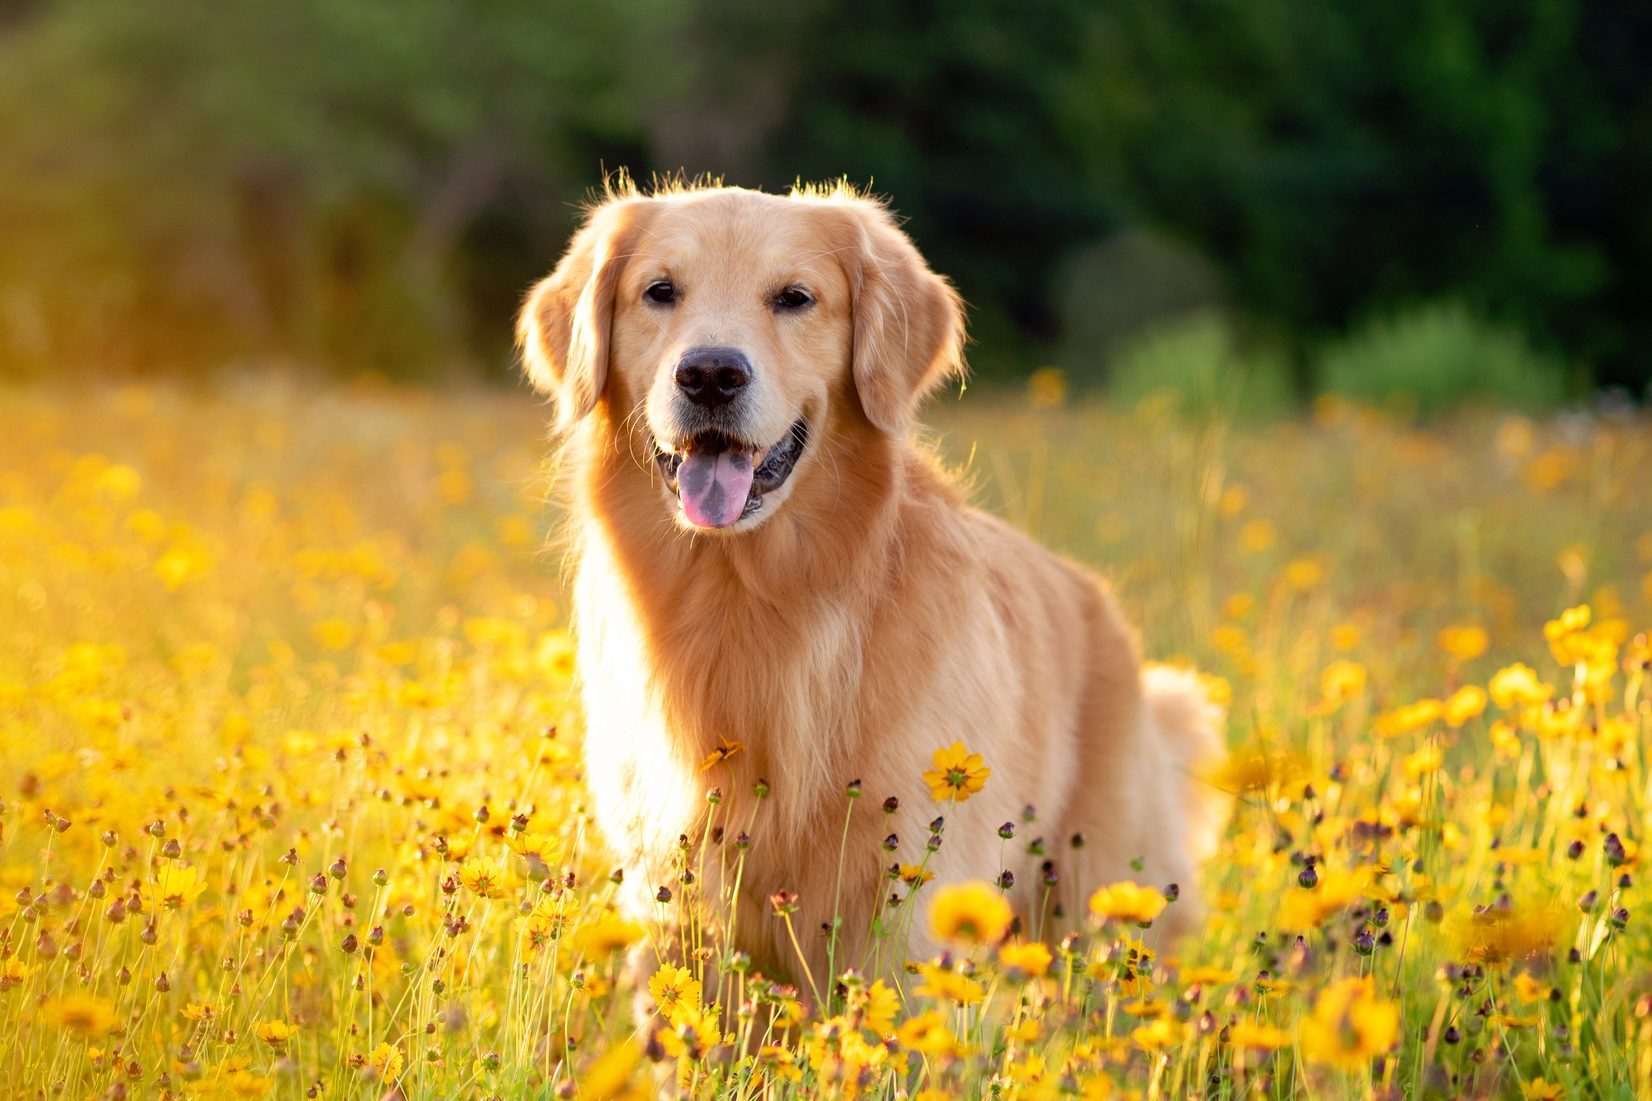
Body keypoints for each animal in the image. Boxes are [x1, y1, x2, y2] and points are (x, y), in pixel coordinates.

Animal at [515, 180, 1229, 985]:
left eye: (795, 297)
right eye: (659, 291)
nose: (710, 374)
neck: (749, 600)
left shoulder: (911, 905)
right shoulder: (674, 899)